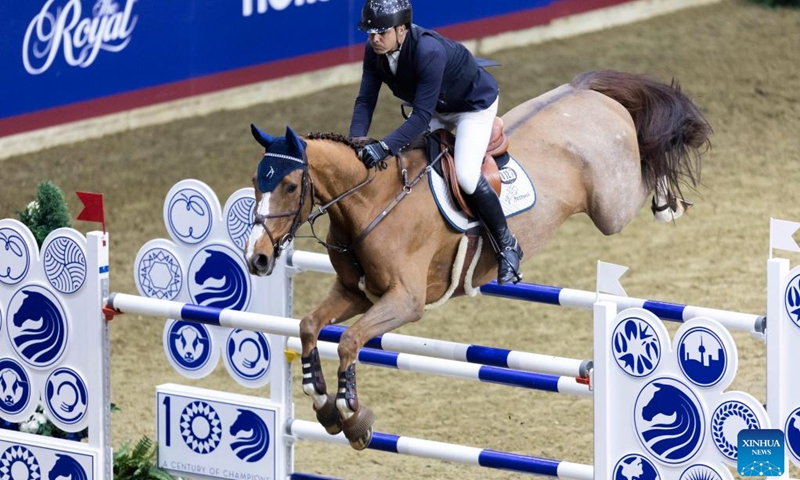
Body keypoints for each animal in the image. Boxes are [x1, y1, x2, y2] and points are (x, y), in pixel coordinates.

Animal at [243, 70, 712, 449]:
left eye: (289, 186)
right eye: (255, 180)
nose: (258, 258)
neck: (372, 202)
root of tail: (585, 91)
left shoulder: (405, 301)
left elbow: (349, 341)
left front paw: (353, 415)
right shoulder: (355, 292)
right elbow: (308, 327)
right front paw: (324, 404)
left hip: (613, 208)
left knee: (650, 163)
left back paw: (669, 201)